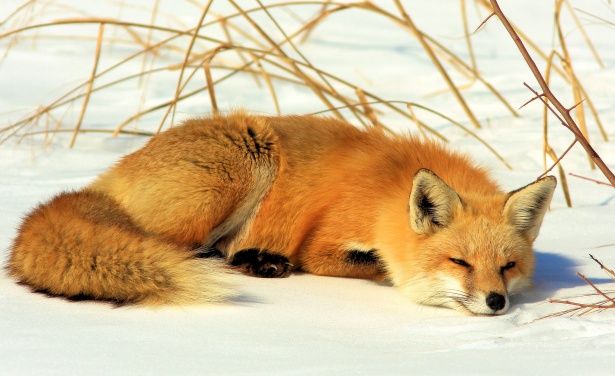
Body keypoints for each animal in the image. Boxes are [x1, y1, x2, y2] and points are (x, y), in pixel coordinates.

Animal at [8, 111, 560, 314]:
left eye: (508, 267)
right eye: (459, 263)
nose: (496, 302)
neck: (388, 195)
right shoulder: (323, 243)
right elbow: (373, 267)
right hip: (243, 164)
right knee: (177, 248)